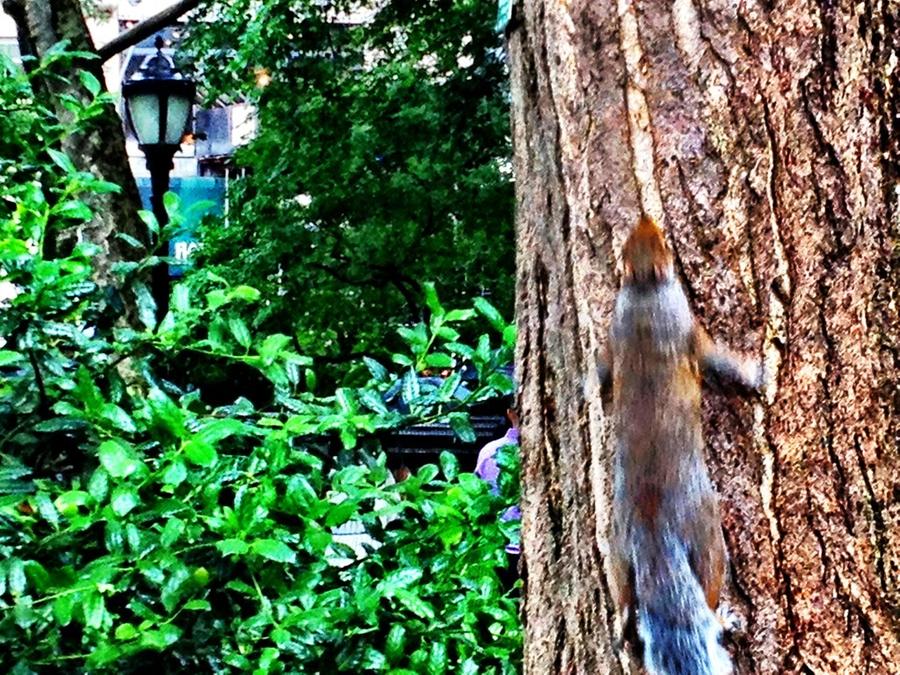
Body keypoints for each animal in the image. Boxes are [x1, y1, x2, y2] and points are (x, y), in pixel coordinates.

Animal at [599, 216, 764, 675]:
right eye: (664, 245)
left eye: (642, 237)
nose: (646, 217)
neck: (643, 291)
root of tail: (653, 531)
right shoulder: (689, 330)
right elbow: (720, 358)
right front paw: (757, 371)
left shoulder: (612, 334)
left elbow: (601, 367)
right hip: (707, 535)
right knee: (709, 584)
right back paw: (723, 618)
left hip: (616, 547)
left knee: (624, 597)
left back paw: (622, 626)